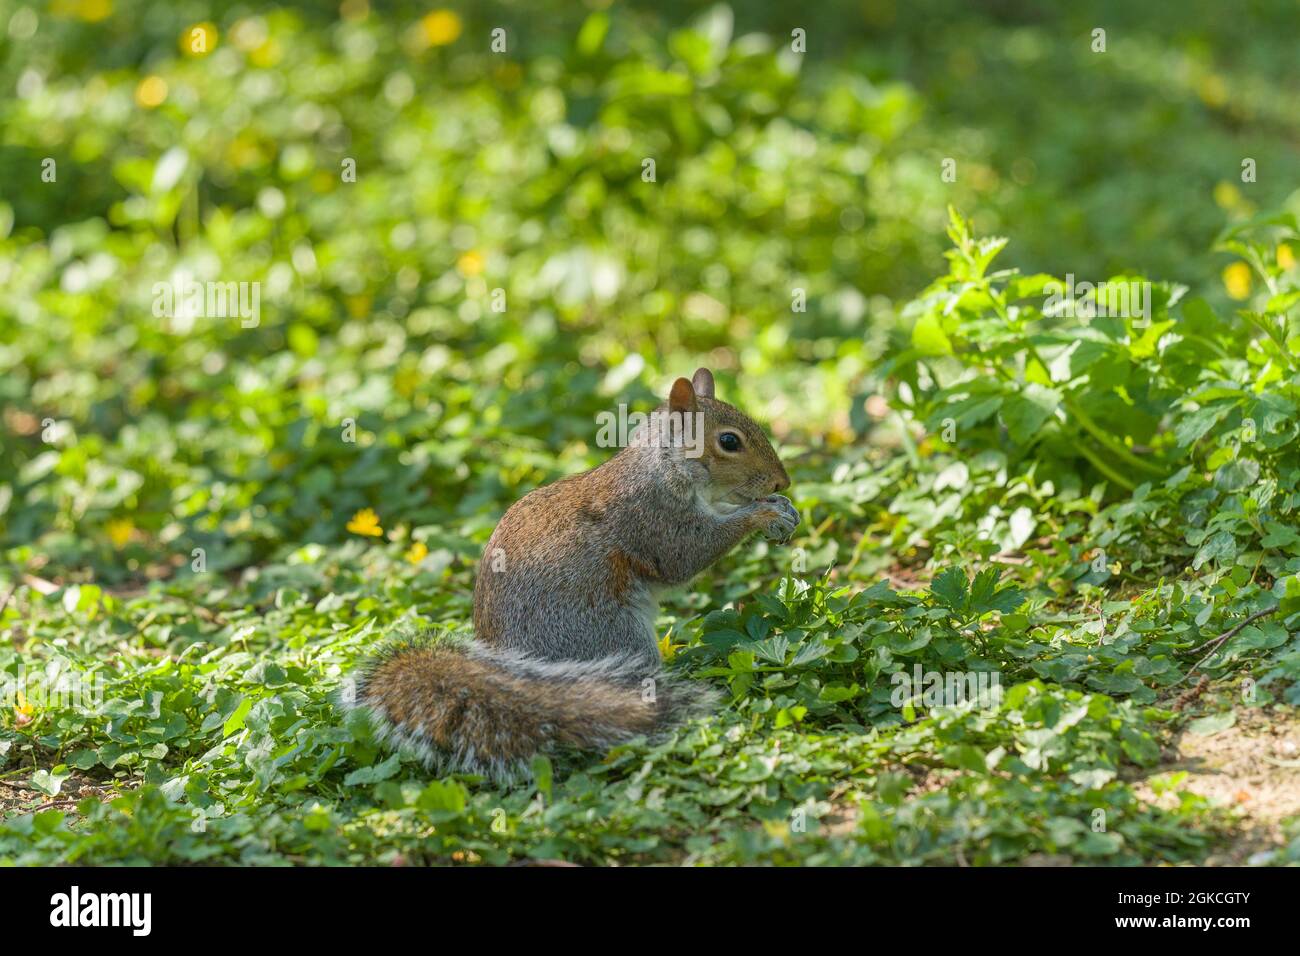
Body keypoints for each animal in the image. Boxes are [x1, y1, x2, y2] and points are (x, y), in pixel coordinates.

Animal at [345, 369, 795, 780]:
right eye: (729, 441)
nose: (782, 481)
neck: (669, 467)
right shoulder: (653, 516)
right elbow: (685, 556)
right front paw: (764, 513)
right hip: (611, 634)